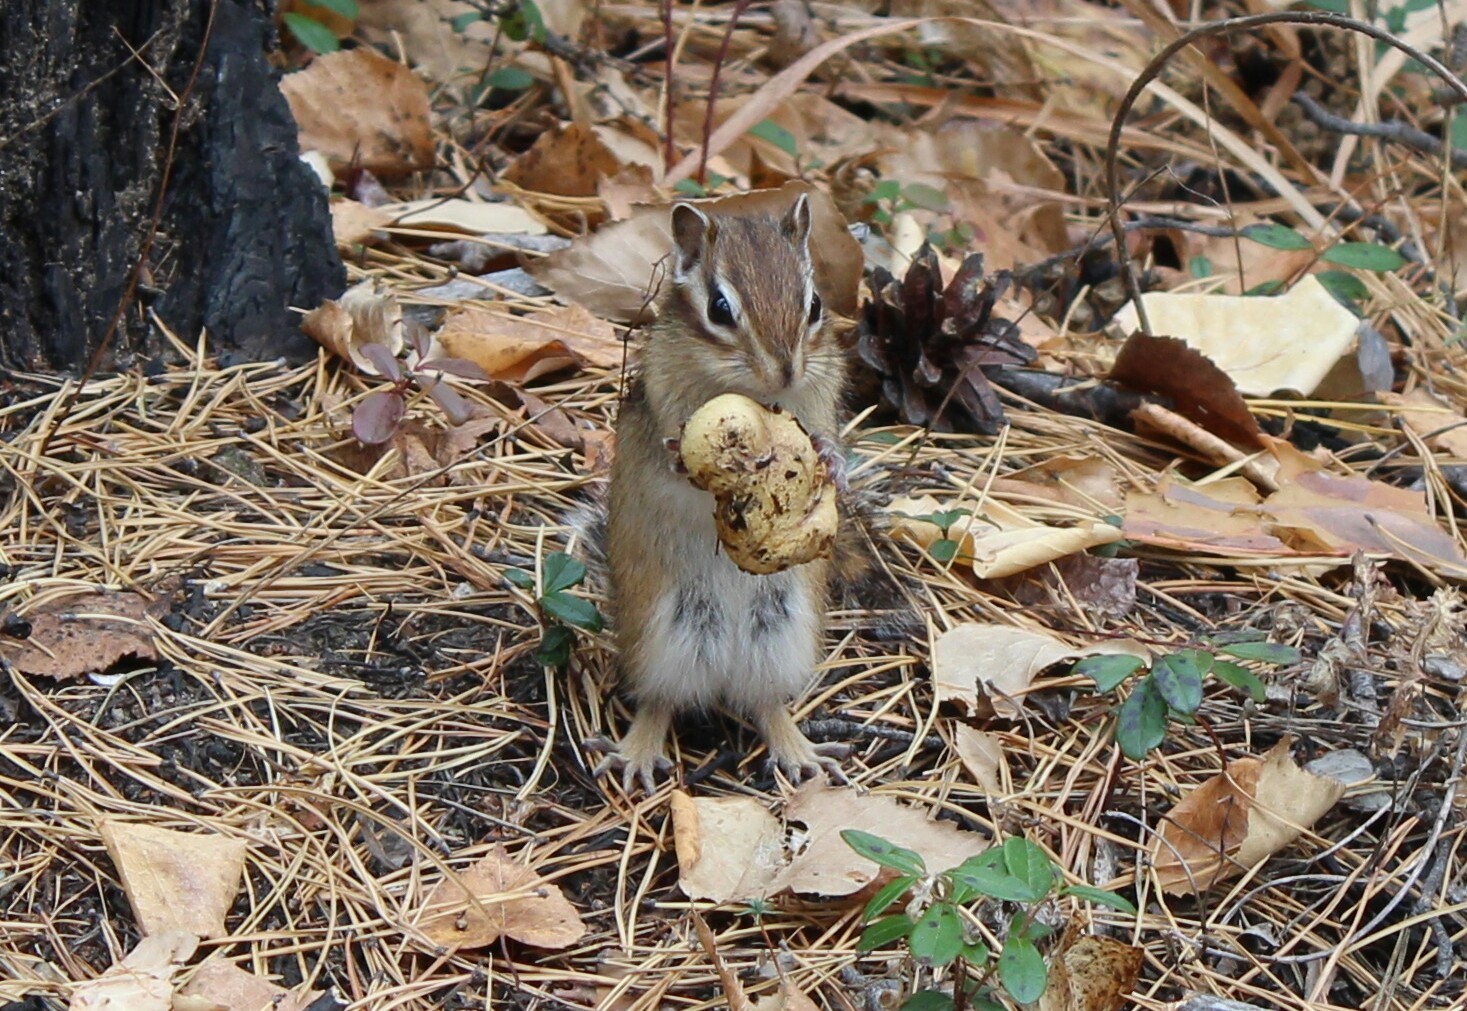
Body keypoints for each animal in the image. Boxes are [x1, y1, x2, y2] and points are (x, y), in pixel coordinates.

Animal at [590, 194, 855, 791]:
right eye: (719, 308)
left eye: (815, 305)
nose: (785, 372)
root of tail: (722, 672)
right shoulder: (661, 412)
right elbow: (672, 462)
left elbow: (825, 441)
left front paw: (831, 461)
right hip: (662, 633)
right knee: (659, 700)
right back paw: (637, 752)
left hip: (782, 634)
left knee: (765, 702)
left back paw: (800, 751)